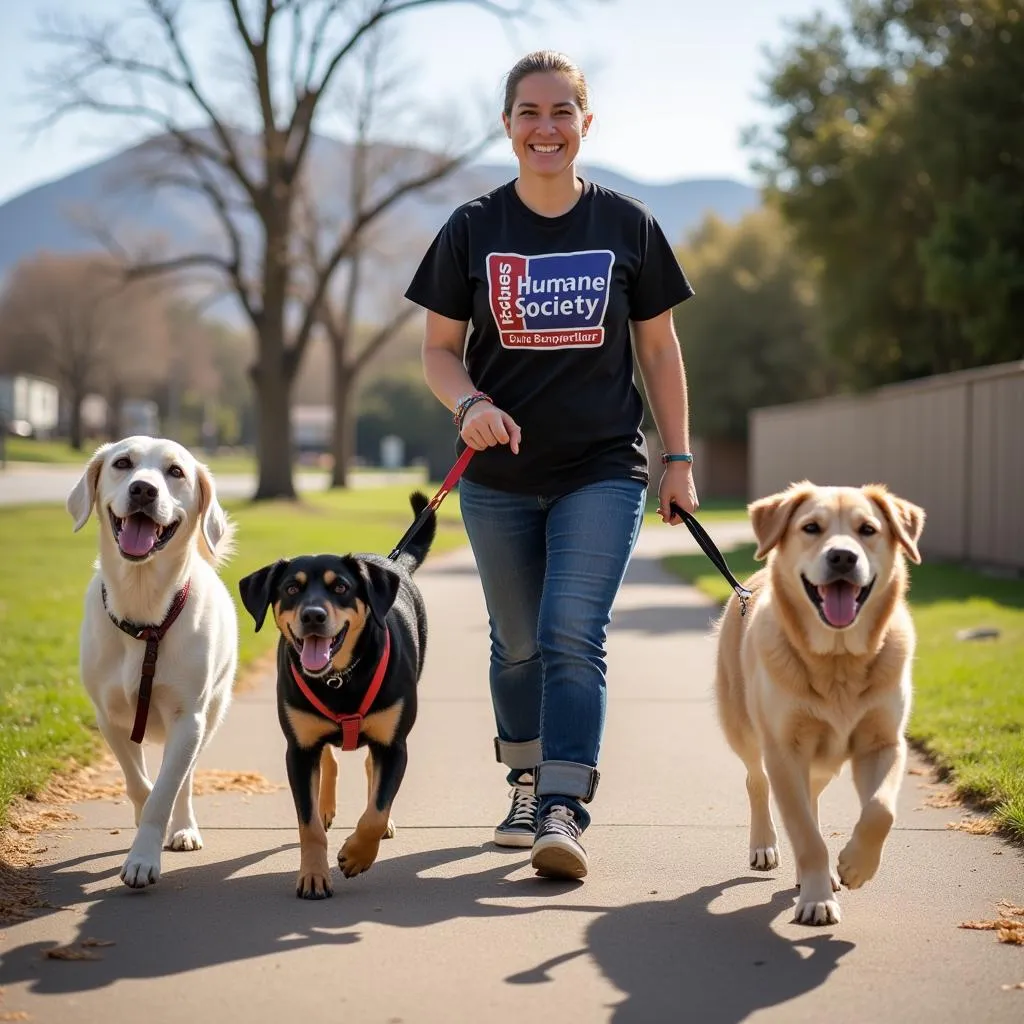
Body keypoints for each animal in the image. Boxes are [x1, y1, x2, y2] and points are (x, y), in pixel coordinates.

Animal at [67, 432, 238, 888]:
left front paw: (144, 856)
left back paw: (184, 828)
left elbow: (166, 791)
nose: (144, 490)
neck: (145, 615)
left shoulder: (187, 719)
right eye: (122, 463)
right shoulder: (110, 718)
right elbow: (140, 786)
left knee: (186, 780)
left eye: (175, 471)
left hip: (211, 715)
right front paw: (142, 827)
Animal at [238, 493, 436, 897]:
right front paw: (314, 875)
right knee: (329, 759)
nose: (313, 615)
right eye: (291, 589)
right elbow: (308, 824)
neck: (339, 680)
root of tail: (391, 563)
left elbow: (376, 810)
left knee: (370, 771)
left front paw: (357, 855)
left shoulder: (395, 745)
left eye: (341, 587)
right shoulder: (298, 751)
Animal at [716, 483, 925, 925]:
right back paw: (765, 845)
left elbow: (881, 810)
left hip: (825, 761)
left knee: (811, 797)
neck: (838, 660)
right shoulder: (784, 750)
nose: (842, 556)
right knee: (757, 780)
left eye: (868, 529)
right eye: (811, 527)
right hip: (742, 726)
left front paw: (855, 866)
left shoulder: (883, 743)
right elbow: (806, 835)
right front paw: (817, 900)